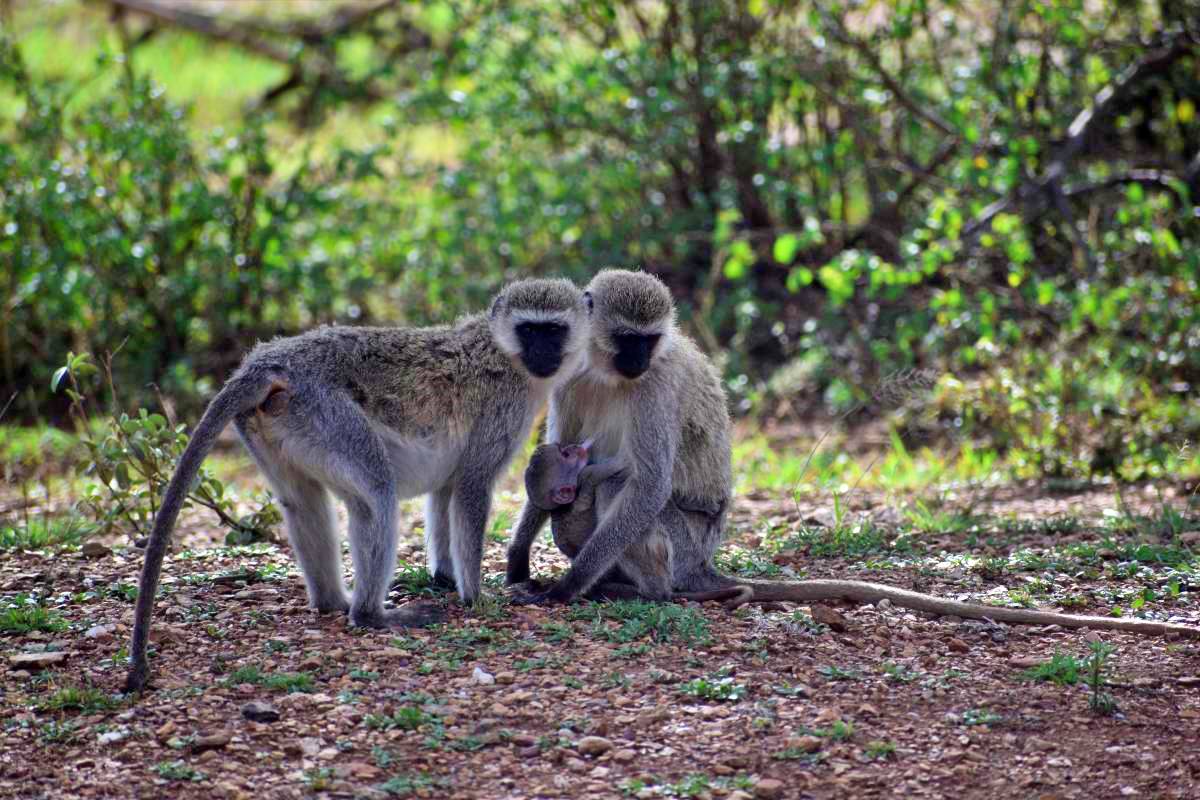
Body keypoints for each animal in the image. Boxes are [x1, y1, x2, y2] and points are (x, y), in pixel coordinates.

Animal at [124, 278, 592, 690]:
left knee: (303, 503)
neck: (507, 355)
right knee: (377, 495)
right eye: (529, 330)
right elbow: (471, 490)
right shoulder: (501, 409)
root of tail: (268, 362)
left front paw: (443, 578)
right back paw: (371, 615)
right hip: (325, 412)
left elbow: (445, 495)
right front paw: (476, 597)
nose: (543, 352)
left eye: (554, 331)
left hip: (277, 428)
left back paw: (336, 601)